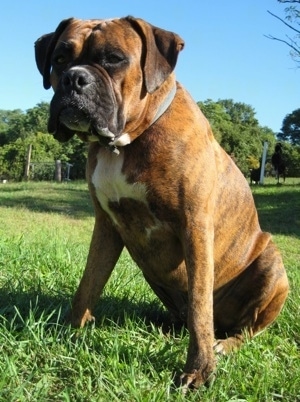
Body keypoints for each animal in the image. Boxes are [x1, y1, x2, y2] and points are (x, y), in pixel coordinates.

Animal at [34, 18, 288, 390]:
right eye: (60, 59)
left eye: (113, 59)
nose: (74, 78)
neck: (125, 143)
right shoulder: (106, 227)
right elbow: (88, 284)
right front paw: (70, 331)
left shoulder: (195, 227)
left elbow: (200, 307)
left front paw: (199, 370)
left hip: (272, 263)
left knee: (245, 329)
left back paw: (224, 344)